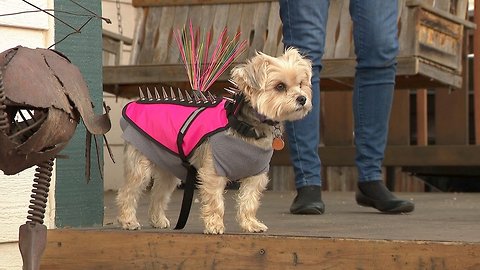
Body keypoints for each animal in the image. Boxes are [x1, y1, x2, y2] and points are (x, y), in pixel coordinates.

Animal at [115, 48, 312, 234]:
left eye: (301, 84)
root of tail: (133, 104)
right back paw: (128, 221)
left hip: (168, 167)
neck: (247, 127)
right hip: (140, 165)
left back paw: (157, 220)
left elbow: (249, 201)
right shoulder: (213, 171)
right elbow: (216, 202)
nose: (302, 98)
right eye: (280, 86)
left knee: (158, 193)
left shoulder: (256, 174)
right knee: (128, 192)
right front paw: (214, 225)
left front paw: (250, 224)